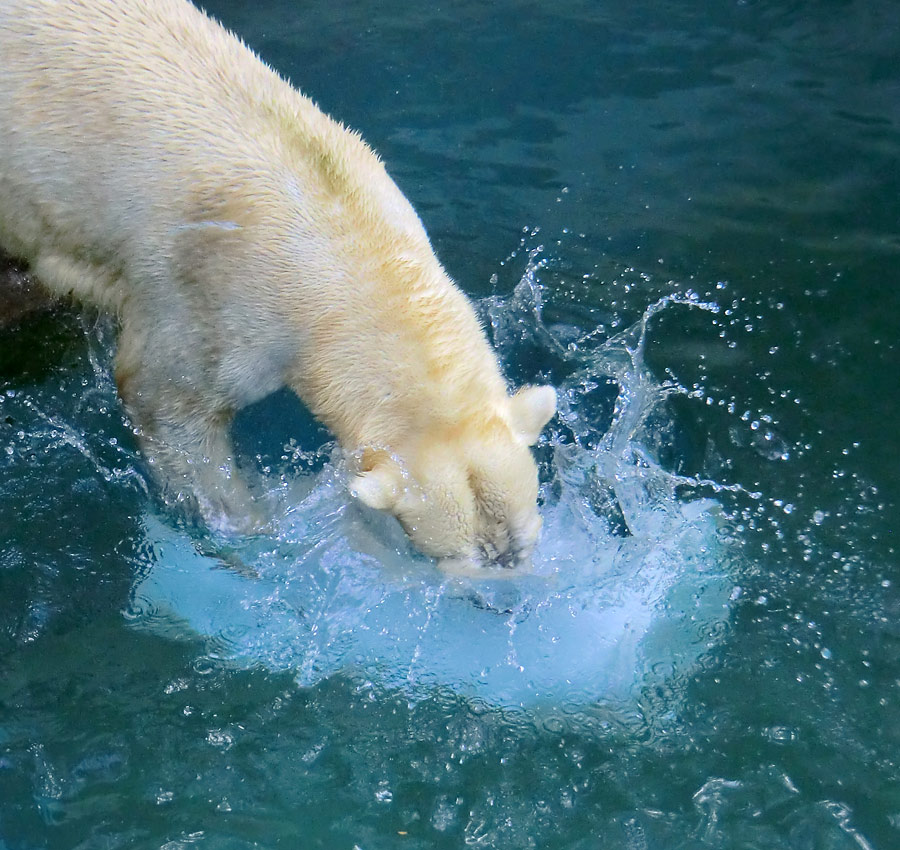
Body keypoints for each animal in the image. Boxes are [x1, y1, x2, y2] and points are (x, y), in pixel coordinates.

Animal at [0, 0, 556, 568]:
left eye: (522, 543)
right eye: (458, 557)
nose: (504, 581)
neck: (335, 236)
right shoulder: (211, 297)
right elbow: (166, 402)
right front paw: (244, 525)